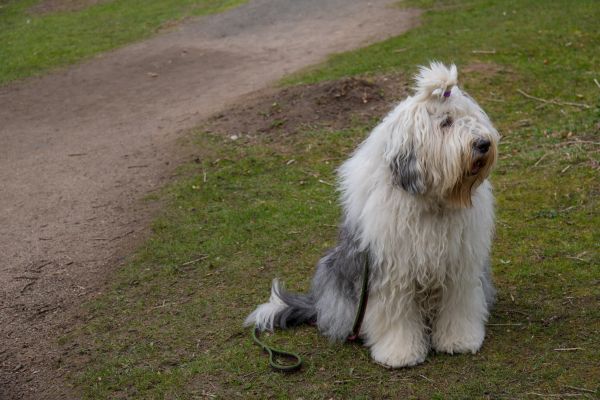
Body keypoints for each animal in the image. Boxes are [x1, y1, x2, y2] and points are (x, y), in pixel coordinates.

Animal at [244, 63, 502, 368]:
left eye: (470, 117)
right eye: (446, 123)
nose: (484, 144)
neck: (431, 202)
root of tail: (317, 305)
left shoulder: (459, 267)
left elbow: (458, 305)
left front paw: (459, 340)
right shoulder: (392, 271)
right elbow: (396, 314)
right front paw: (399, 353)